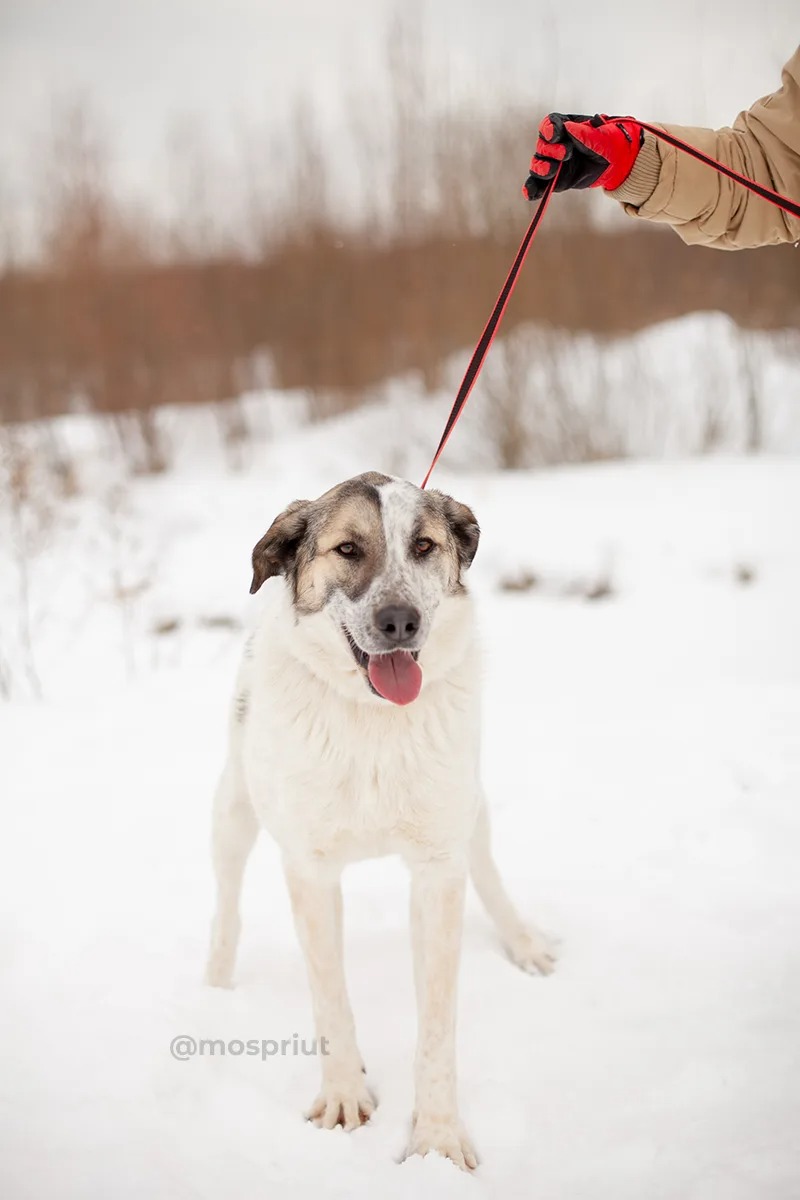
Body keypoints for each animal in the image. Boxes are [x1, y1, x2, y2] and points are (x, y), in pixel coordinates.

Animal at [206, 470, 556, 1171]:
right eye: (347, 549)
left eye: (423, 546)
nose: (400, 620)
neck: (373, 722)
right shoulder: (310, 873)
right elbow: (331, 1002)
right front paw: (344, 1097)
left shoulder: (439, 870)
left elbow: (438, 1028)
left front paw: (436, 1141)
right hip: (233, 809)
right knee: (227, 902)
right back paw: (216, 986)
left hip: (470, 812)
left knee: (490, 874)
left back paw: (523, 942)